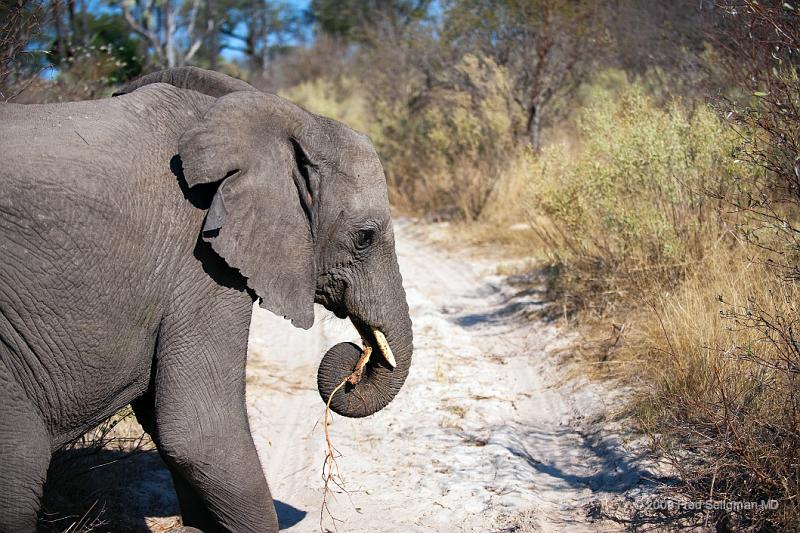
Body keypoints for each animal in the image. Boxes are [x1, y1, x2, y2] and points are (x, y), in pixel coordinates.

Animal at [0, 64, 412, 528]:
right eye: (365, 237)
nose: (353, 369)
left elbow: (165, 423)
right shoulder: (199, 263)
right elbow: (201, 432)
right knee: (22, 458)